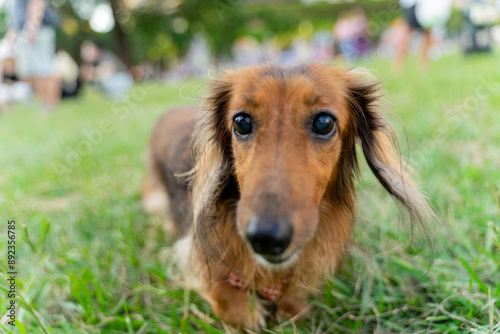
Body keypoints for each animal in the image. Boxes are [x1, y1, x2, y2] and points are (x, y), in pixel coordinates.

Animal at [142, 64, 434, 330]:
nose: (265, 239)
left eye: (324, 122)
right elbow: (224, 295)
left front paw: (291, 305)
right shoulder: (194, 249)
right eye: (241, 122)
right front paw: (247, 309)